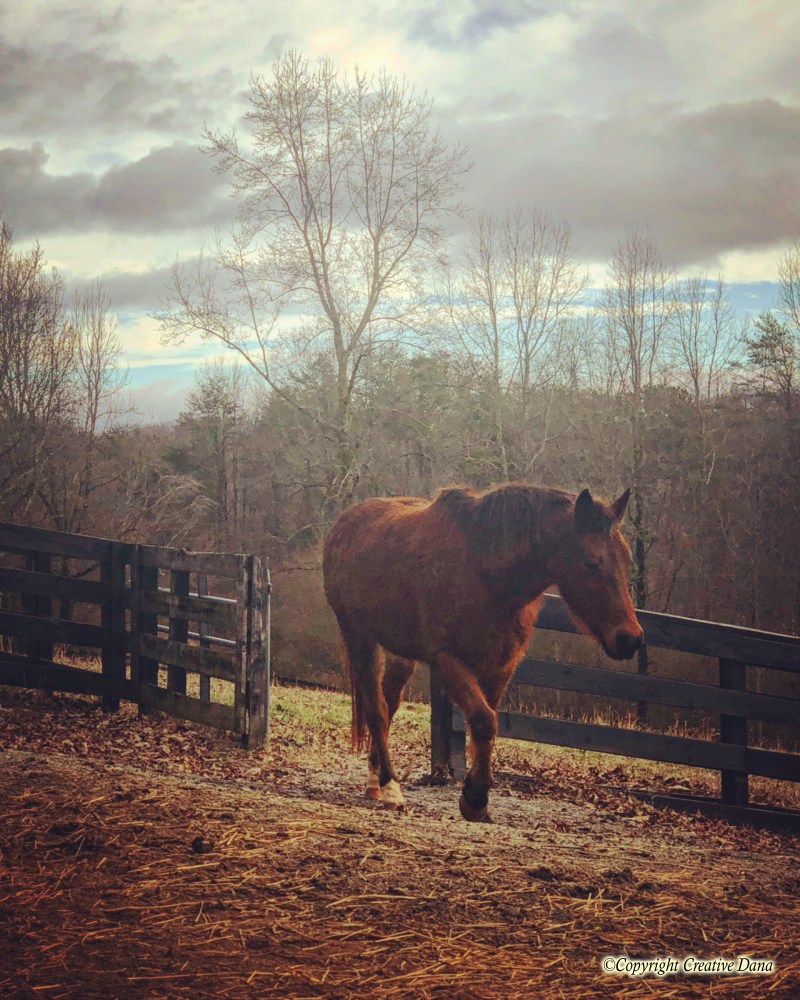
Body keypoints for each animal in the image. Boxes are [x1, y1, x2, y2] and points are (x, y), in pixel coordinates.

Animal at [322, 482, 643, 822]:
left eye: (626, 561)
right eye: (591, 562)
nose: (630, 638)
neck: (485, 573)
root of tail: (345, 523)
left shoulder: (500, 666)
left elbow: (485, 725)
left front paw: (477, 797)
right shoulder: (448, 662)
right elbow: (483, 720)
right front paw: (475, 797)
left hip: (400, 654)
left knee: (389, 704)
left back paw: (375, 781)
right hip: (360, 639)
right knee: (376, 709)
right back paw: (390, 786)